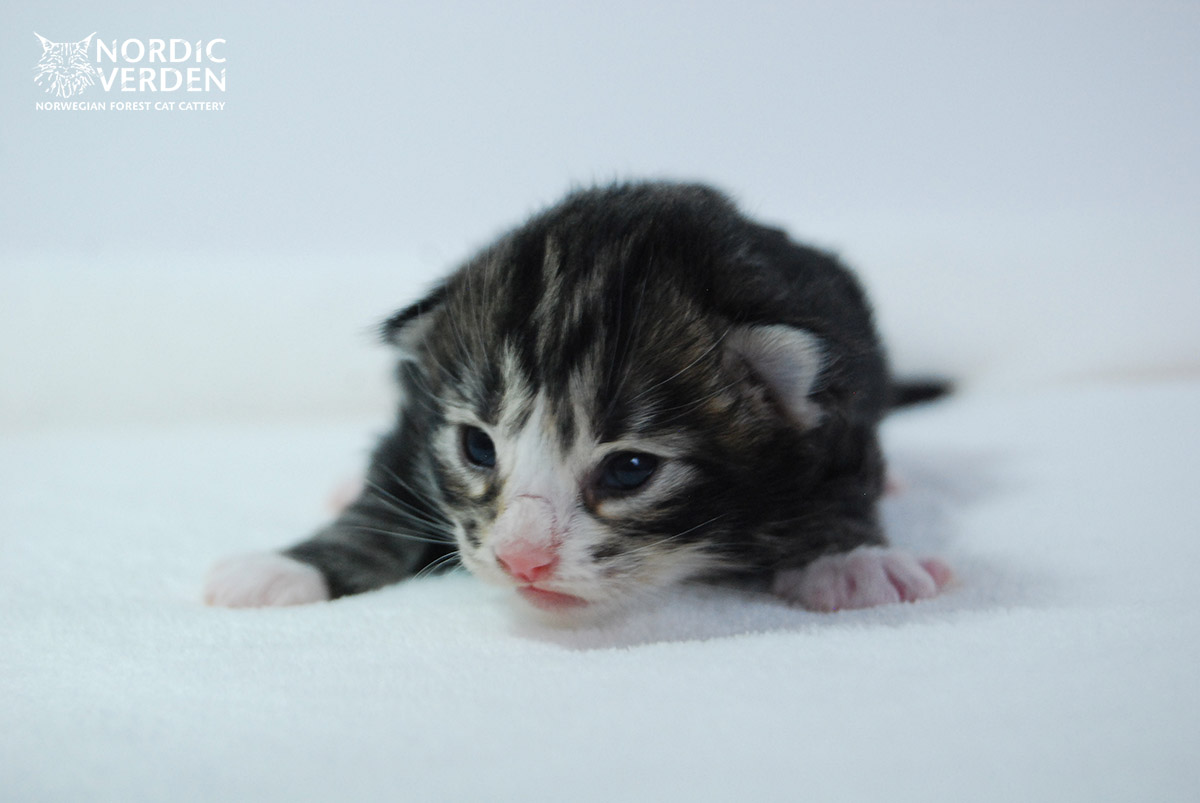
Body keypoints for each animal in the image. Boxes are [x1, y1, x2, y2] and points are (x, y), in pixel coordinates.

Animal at [205, 182, 951, 620]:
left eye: (629, 470)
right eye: (477, 447)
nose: (520, 559)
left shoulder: (838, 410)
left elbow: (845, 482)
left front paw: (851, 560)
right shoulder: (416, 417)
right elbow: (380, 500)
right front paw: (284, 566)